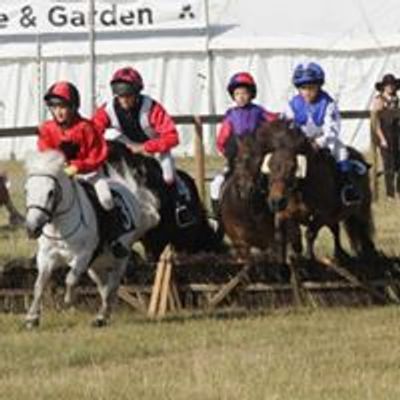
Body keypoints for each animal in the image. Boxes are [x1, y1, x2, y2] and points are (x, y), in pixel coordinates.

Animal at [24, 150, 159, 328]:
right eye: (26, 190)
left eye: (51, 192)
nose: (32, 228)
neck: (60, 226)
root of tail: (129, 191)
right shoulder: (46, 256)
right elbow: (39, 285)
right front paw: (32, 318)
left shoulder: (83, 255)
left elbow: (70, 279)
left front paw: (68, 301)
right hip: (96, 265)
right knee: (104, 287)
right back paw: (103, 316)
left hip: (118, 260)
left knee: (113, 285)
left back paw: (101, 316)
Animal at [258, 120, 376, 260]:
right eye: (270, 165)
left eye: (293, 166)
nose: (276, 201)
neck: (302, 189)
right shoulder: (285, 213)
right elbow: (286, 234)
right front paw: (291, 255)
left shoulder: (322, 215)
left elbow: (310, 233)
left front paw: (309, 256)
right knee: (337, 229)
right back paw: (341, 253)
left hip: (361, 210)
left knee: (363, 228)